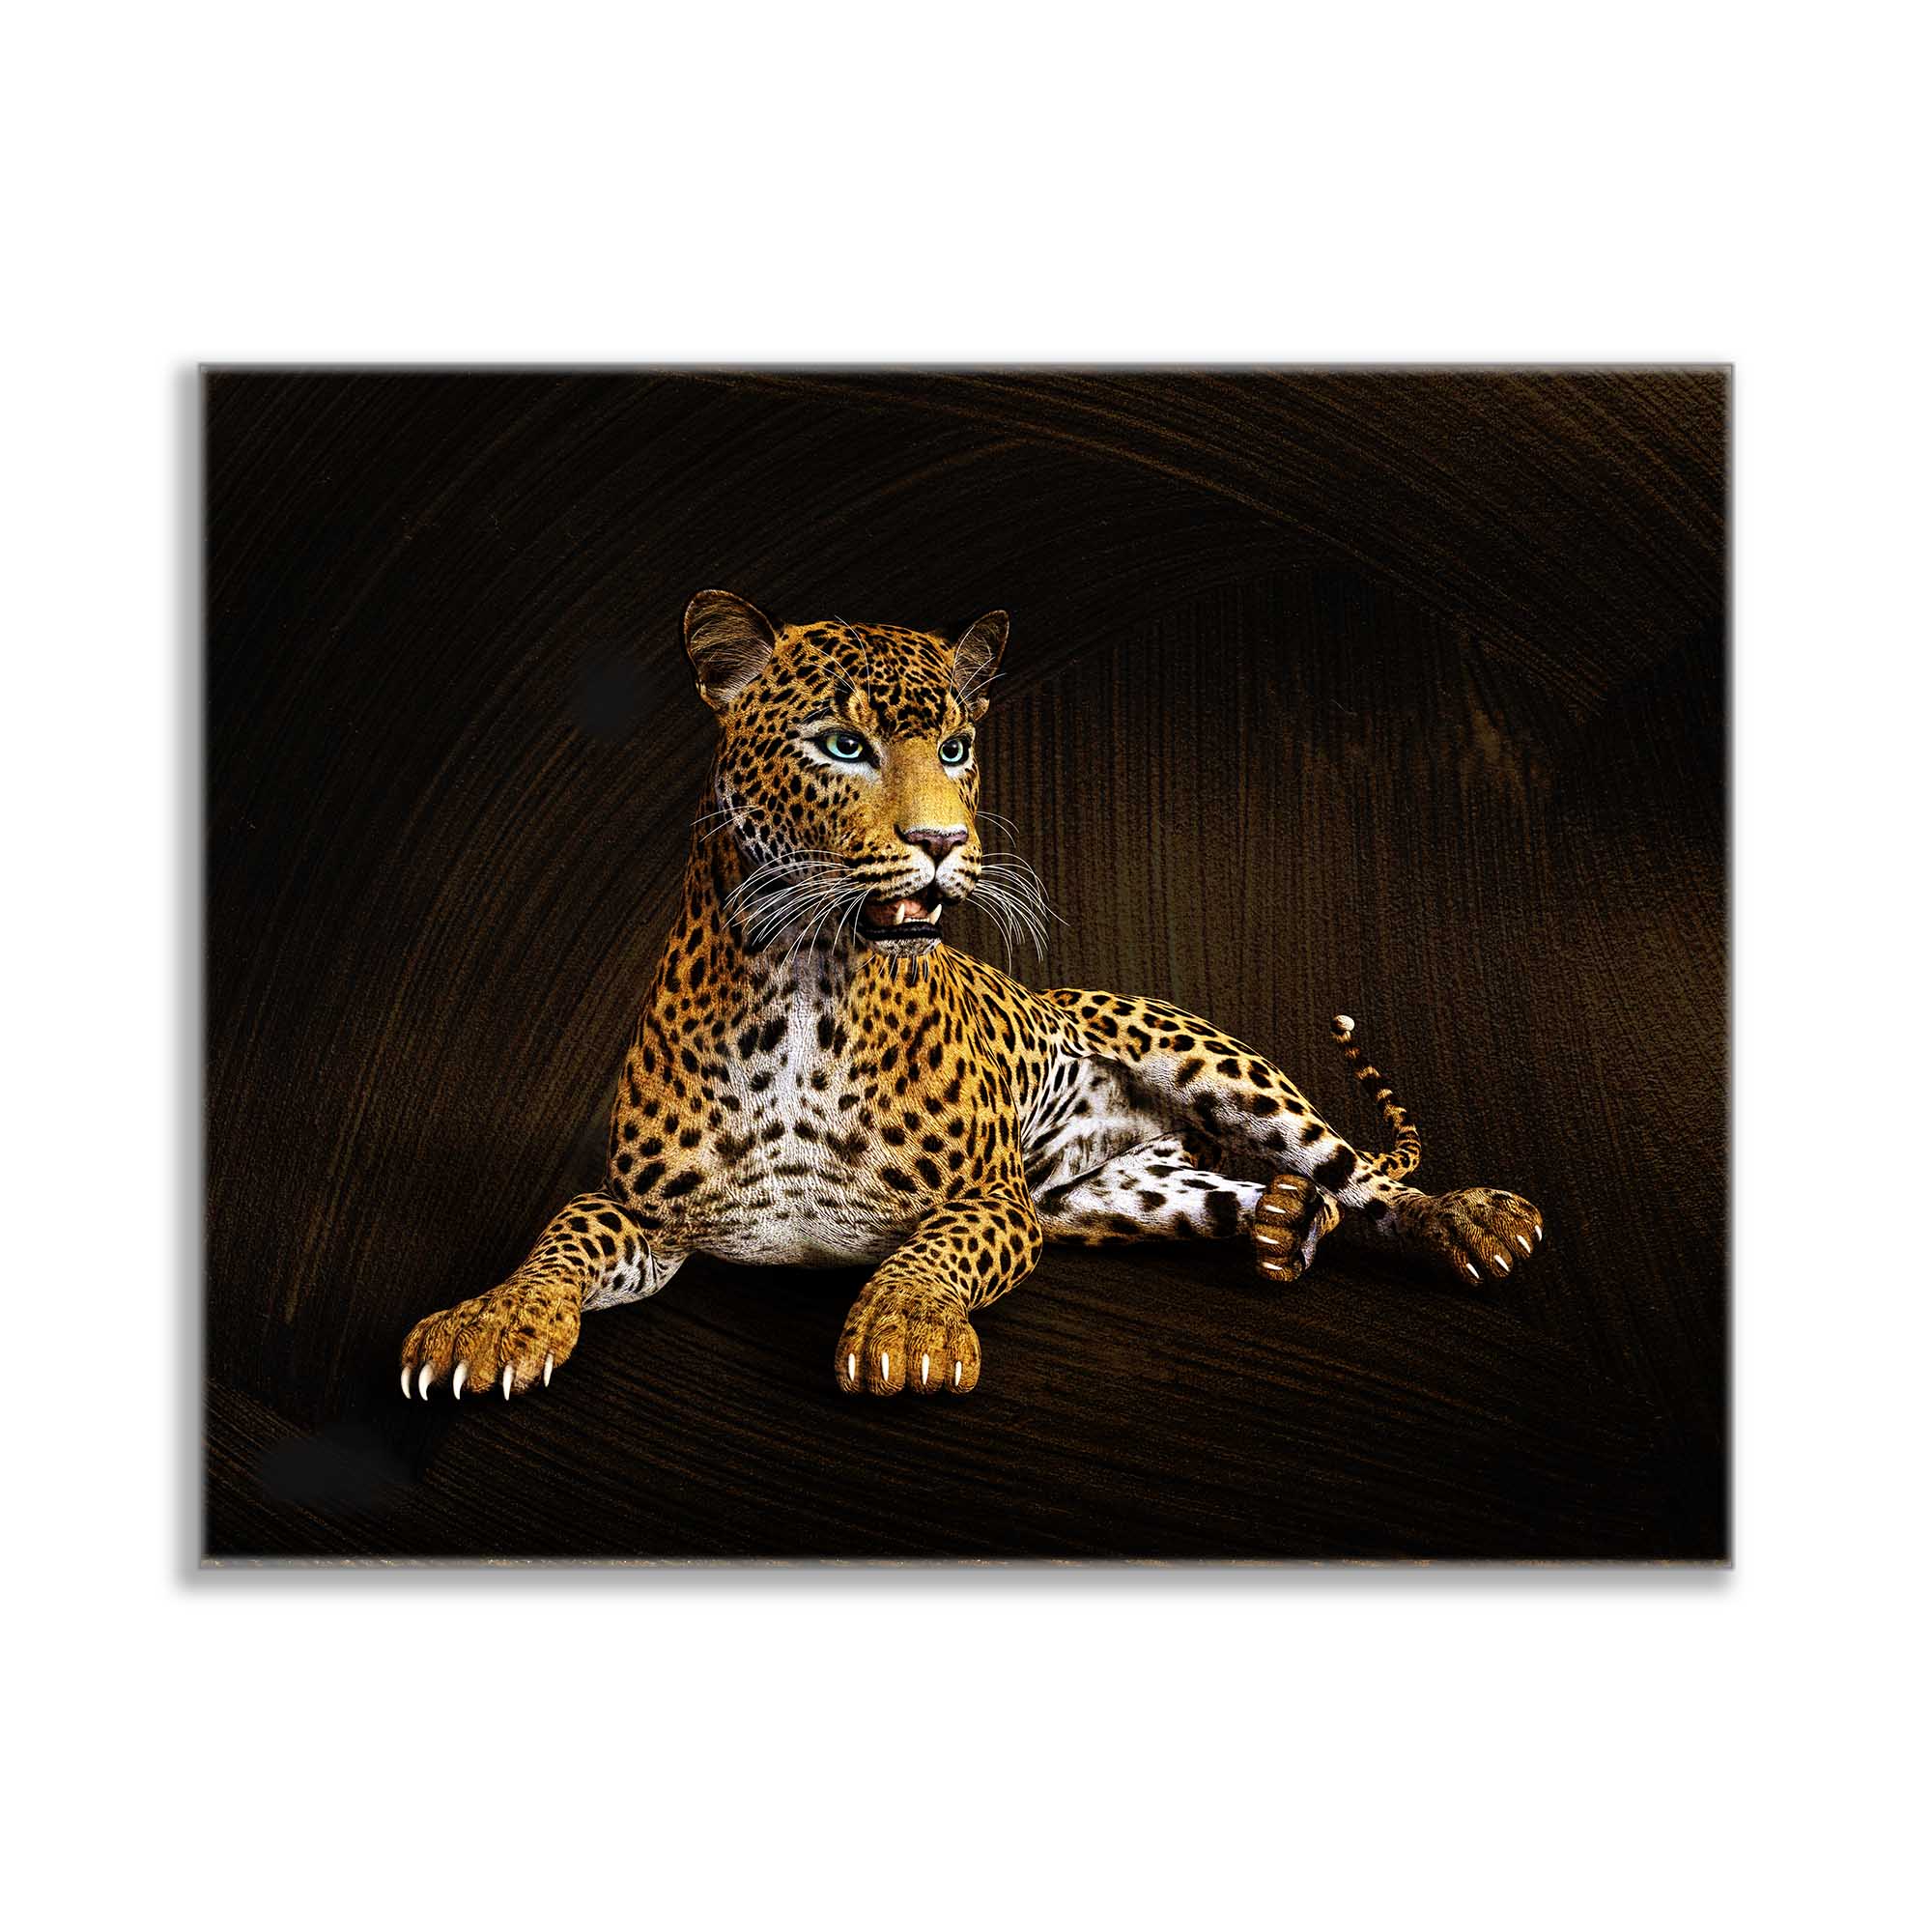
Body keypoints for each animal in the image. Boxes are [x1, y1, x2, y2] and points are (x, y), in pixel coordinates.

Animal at [399, 591, 1543, 1402]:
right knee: (1251, 1195)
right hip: (1111, 1200)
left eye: (956, 748)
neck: (804, 985)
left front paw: (905, 1331)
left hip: (1217, 1066)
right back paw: (1277, 1224)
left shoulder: (990, 1198)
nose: (943, 841)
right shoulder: (643, 1208)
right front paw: (486, 1320)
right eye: (842, 745)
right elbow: (559, 1238)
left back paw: (1469, 1218)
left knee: (1357, 1173)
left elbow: (932, 1252)